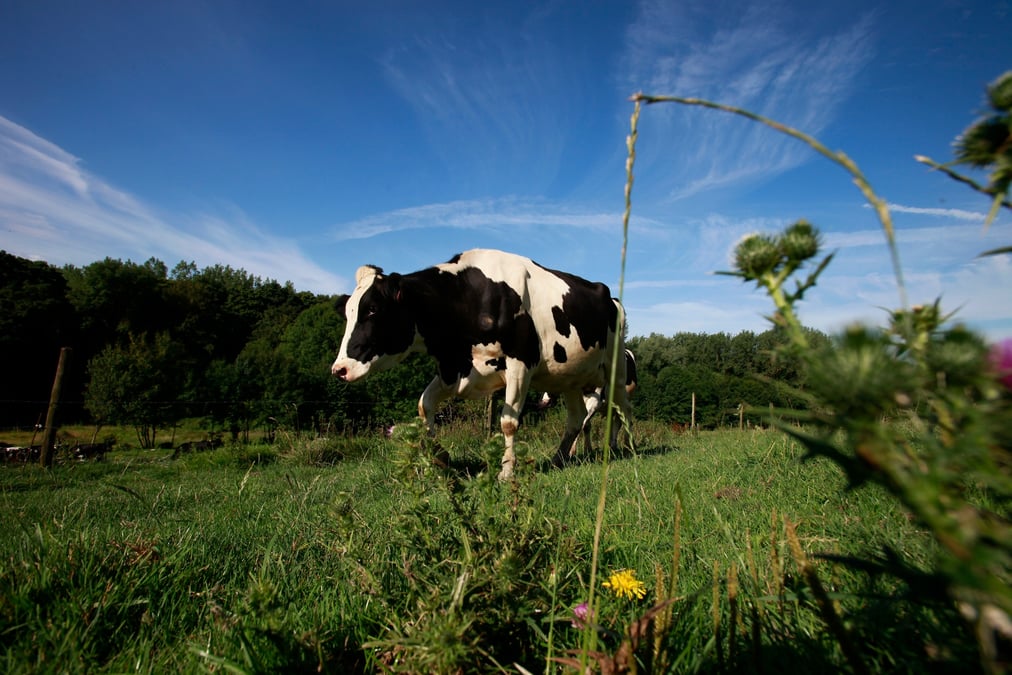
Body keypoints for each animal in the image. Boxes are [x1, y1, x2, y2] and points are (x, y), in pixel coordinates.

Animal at [331, 249, 633, 480]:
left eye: (372, 309)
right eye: (348, 312)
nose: (339, 369)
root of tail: (611, 297)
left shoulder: (520, 364)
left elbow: (508, 422)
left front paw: (506, 471)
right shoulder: (455, 369)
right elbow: (424, 406)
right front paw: (440, 457)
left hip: (616, 372)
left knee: (624, 412)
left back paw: (628, 450)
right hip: (568, 377)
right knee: (577, 418)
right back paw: (558, 459)